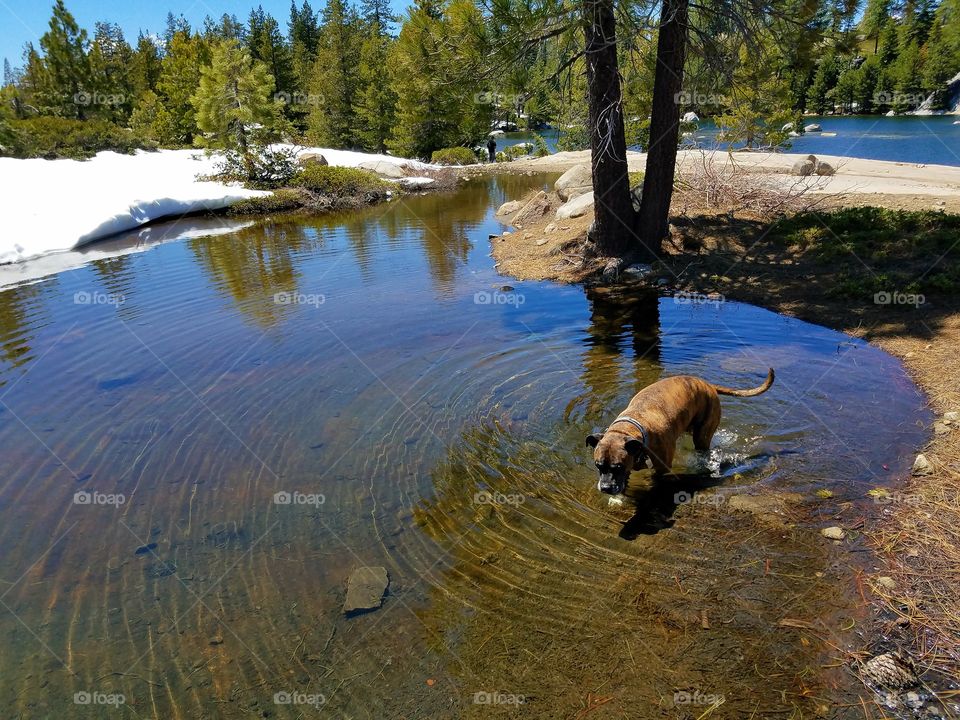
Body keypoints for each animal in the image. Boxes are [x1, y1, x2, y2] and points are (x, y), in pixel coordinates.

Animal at [580, 372, 776, 496]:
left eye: (618, 467)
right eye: (598, 466)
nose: (605, 488)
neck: (633, 427)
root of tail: (708, 385)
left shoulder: (662, 467)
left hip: (702, 435)